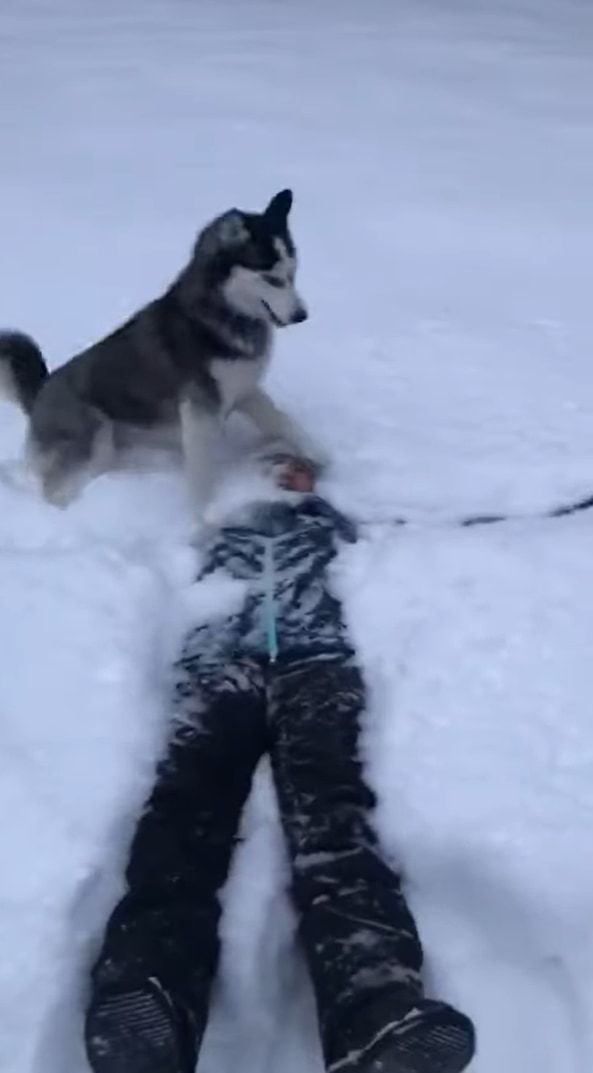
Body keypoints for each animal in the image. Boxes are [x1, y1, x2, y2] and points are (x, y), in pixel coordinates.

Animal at [0, 188, 323, 510]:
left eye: (293, 274)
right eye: (272, 279)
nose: (302, 315)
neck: (222, 315)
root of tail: (40, 393)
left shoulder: (243, 389)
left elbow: (281, 421)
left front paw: (318, 453)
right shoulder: (200, 412)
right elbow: (202, 476)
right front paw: (205, 514)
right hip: (95, 437)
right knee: (58, 491)